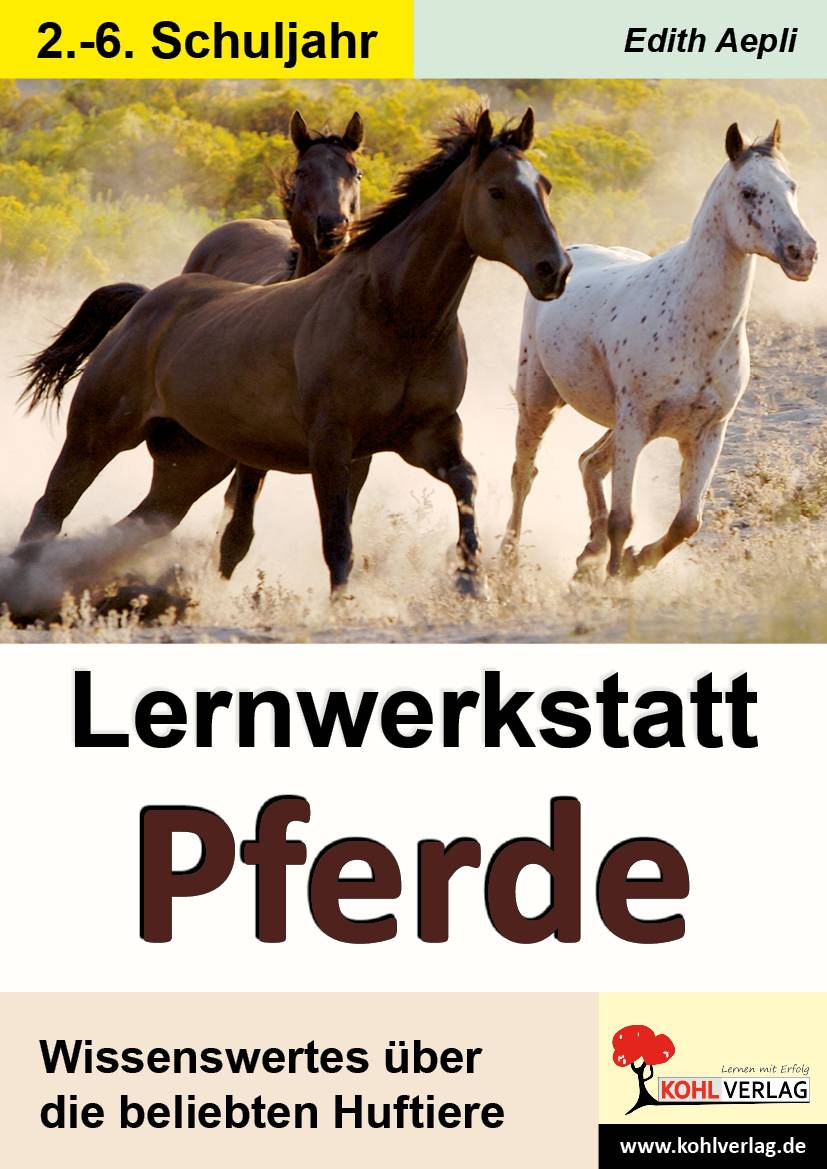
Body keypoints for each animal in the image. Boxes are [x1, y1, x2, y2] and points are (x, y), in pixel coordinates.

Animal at [502, 120, 818, 579]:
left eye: (791, 186)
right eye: (747, 191)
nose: (803, 253)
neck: (692, 326)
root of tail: (568, 256)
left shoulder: (708, 433)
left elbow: (687, 522)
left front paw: (631, 565)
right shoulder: (635, 424)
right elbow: (623, 519)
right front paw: (614, 580)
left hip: (618, 424)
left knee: (588, 462)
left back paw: (588, 553)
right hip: (540, 401)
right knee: (524, 474)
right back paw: (507, 559)